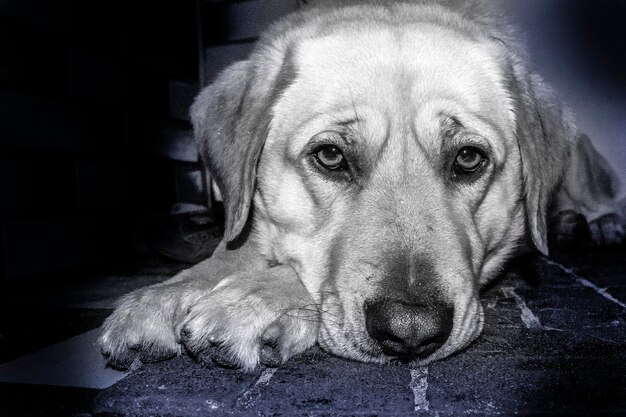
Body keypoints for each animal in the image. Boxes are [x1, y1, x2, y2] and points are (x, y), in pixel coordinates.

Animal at [97, 0, 620, 370]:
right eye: (331, 156)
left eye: (469, 158)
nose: (411, 330)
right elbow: (233, 245)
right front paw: (171, 292)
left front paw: (254, 300)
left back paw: (593, 224)